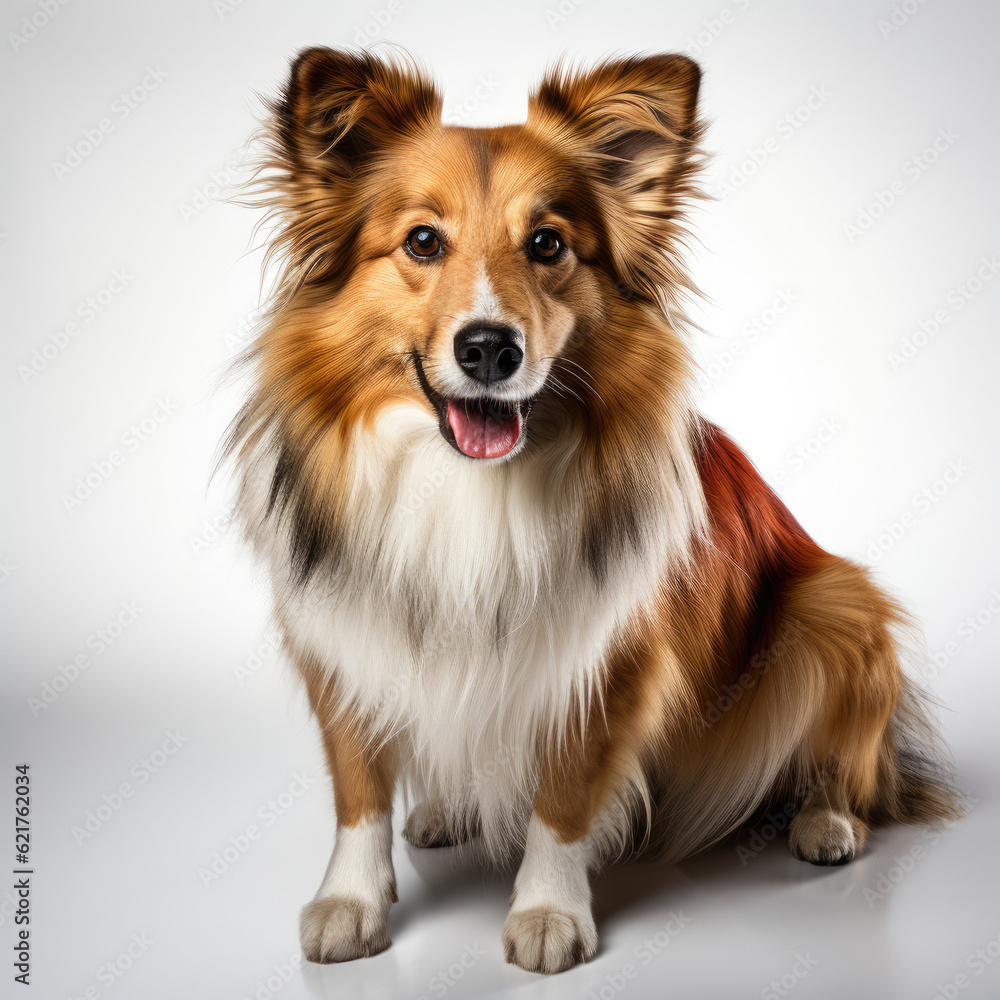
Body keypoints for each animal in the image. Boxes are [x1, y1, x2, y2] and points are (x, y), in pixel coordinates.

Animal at [225, 50, 960, 972]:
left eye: (548, 244)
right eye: (423, 241)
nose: (489, 348)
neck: (465, 482)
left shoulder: (609, 658)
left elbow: (564, 797)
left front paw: (548, 911)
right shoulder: (346, 635)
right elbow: (359, 788)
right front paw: (351, 900)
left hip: (832, 605)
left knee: (851, 769)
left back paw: (827, 822)